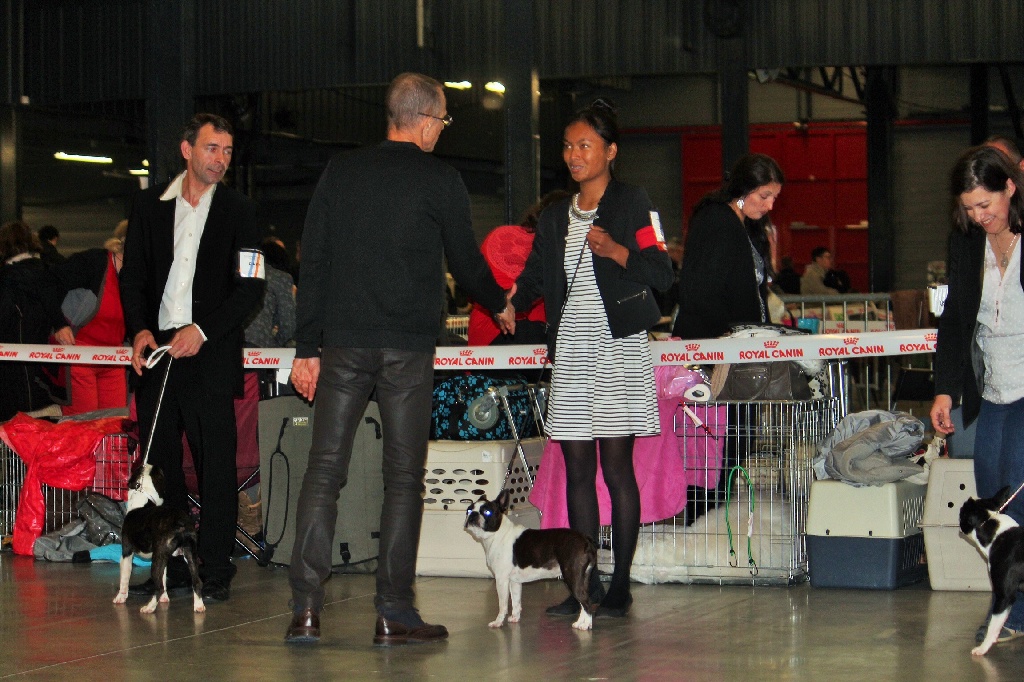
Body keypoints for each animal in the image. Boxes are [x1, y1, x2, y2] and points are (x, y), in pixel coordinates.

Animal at [113, 462, 204, 610]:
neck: (143, 498)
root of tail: (180, 522)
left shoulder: (126, 552)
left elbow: (124, 578)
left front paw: (120, 597)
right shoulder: (164, 558)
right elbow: (164, 577)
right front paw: (164, 599)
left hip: (157, 558)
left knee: (159, 587)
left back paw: (149, 608)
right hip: (189, 553)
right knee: (196, 582)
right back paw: (199, 606)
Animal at [466, 489, 598, 626]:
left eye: (487, 512)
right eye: (468, 510)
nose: (472, 515)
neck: (497, 534)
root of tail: (585, 539)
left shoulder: (501, 579)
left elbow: (502, 605)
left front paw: (498, 622)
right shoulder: (514, 581)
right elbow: (516, 601)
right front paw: (515, 618)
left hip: (572, 576)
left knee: (586, 601)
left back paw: (585, 625)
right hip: (583, 577)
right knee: (583, 601)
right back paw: (581, 623)